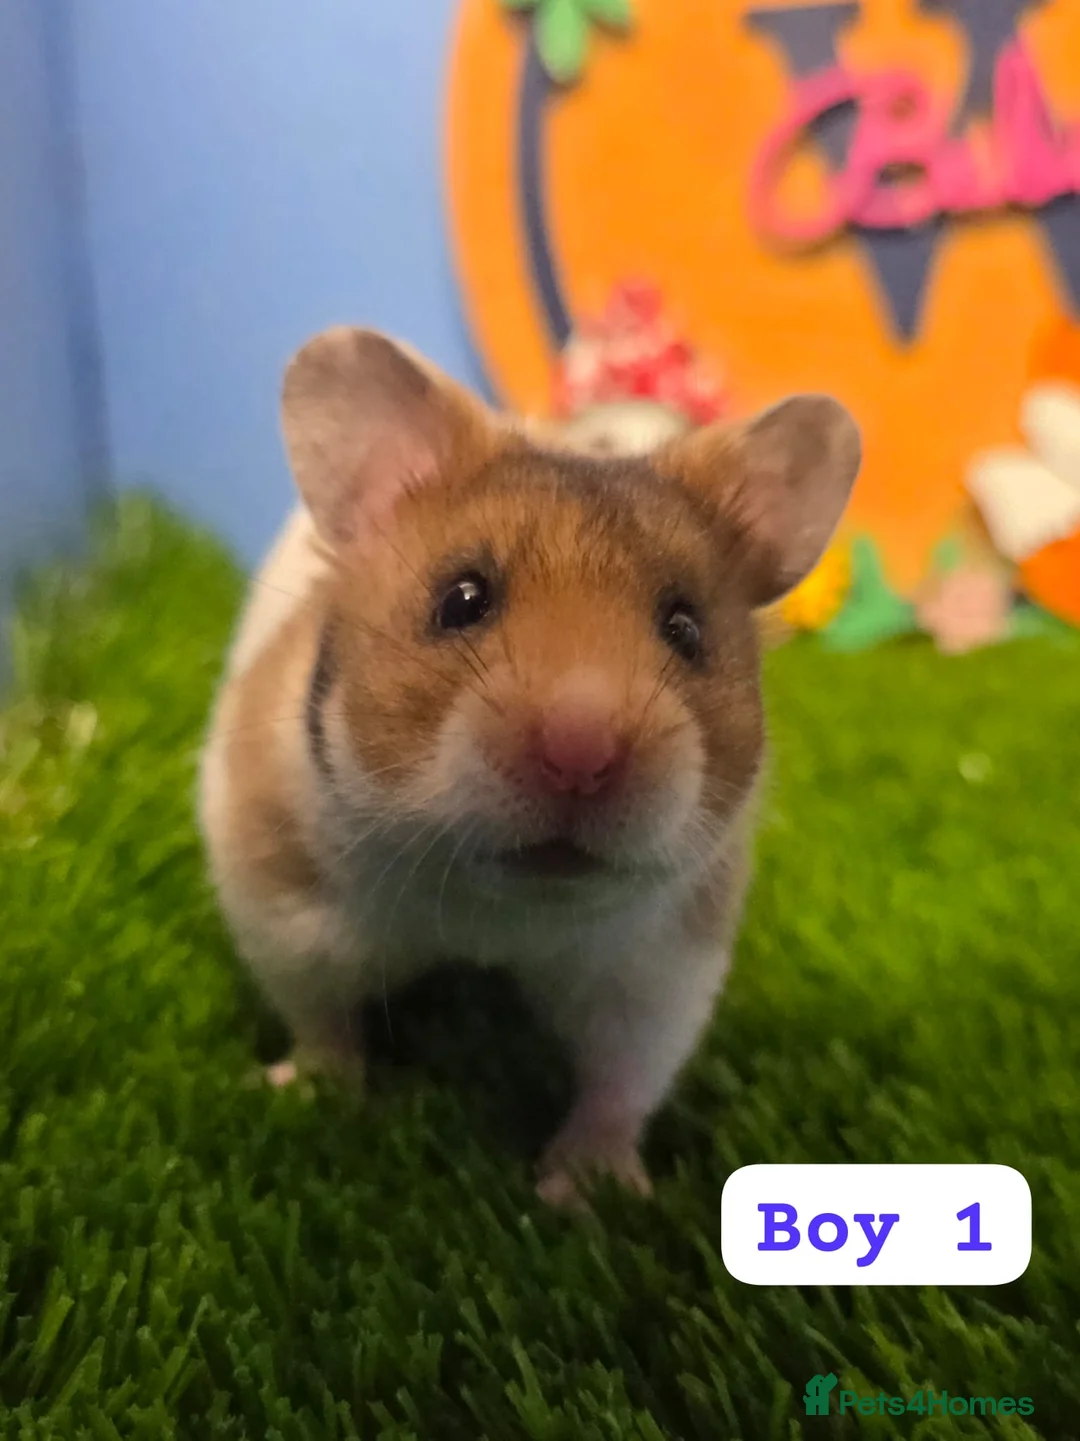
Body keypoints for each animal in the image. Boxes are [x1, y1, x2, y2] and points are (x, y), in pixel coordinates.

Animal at [198, 327, 861, 1208]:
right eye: (461, 599)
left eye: (685, 629)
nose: (582, 751)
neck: (496, 908)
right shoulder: (283, 903)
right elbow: (322, 1019)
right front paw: (302, 1094)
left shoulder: (658, 968)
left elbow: (621, 1080)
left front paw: (585, 1193)